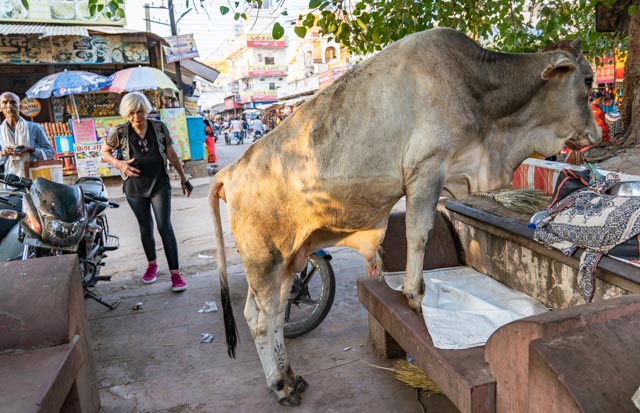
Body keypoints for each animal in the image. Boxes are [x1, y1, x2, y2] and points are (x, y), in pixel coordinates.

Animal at [209, 27, 600, 404]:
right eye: (588, 79)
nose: (597, 134)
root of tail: (230, 172)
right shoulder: (427, 169)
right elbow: (419, 232)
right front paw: (415, 295)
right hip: (265, 259)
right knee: (261, 321)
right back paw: (281, 385)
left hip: (288, 258)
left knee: (269, 313)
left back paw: (290, 377)